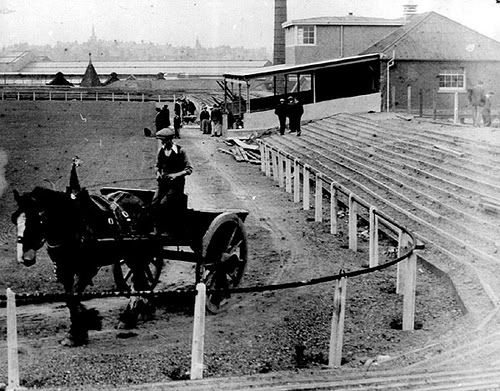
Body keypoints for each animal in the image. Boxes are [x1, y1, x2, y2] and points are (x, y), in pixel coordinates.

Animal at [12, 167, 160, 348]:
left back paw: (130, 316)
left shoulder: (87, 269)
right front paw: (79, 329)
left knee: (139, 279)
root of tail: (139, 201)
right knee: (141, 279)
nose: (24, 257)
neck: (74, 225)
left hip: (137, 254)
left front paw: (84, 326)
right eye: (15, 219)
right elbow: (70, 299)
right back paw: (143, 311)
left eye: (39, 220)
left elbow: (74, 297)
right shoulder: (65, 270)